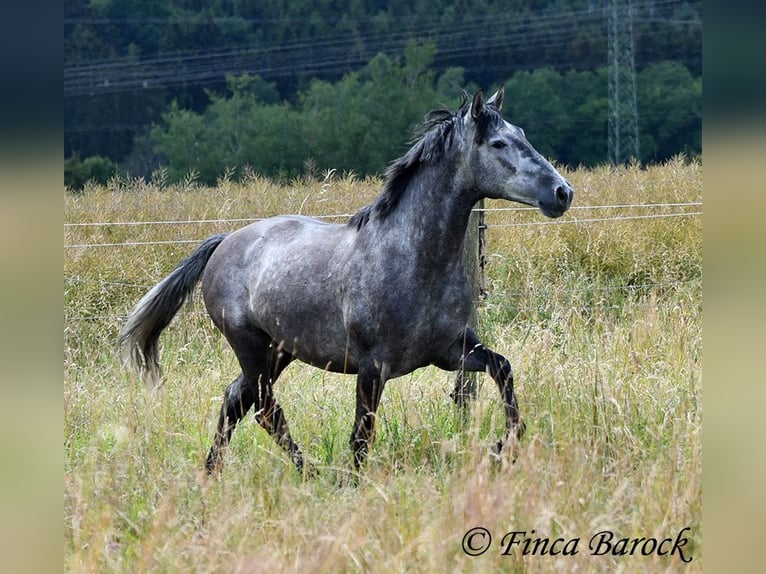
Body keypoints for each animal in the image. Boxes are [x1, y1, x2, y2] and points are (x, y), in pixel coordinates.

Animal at [120, 88, 572, 476]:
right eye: (498, 144)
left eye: (521, 135)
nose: (562, 193)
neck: (413, 258)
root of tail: (225, 241)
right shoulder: (373, 367)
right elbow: (362, 435)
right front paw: (354, 483)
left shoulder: (452, 350)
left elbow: (503, 371)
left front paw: (502, 447)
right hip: (250, 347)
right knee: (263, 409)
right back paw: (312, 473)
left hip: (278, 352)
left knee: (236, 400)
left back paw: (213, 473)